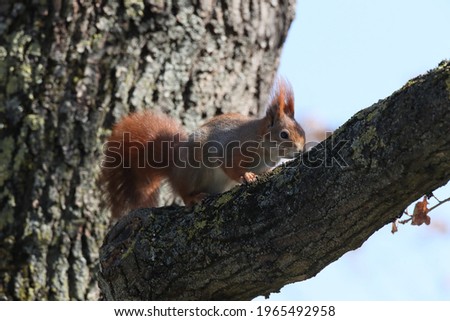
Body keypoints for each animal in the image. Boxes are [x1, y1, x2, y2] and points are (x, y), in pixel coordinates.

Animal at [100, 79, 306, 216]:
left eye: (303, 132)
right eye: (284, 134)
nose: (300, 150)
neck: (263, 142)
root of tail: (173, 169)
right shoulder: (232, 149)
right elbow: (231, 167)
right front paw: (246, 176)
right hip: (194, 170)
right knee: (184, 193)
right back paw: (193, 198)